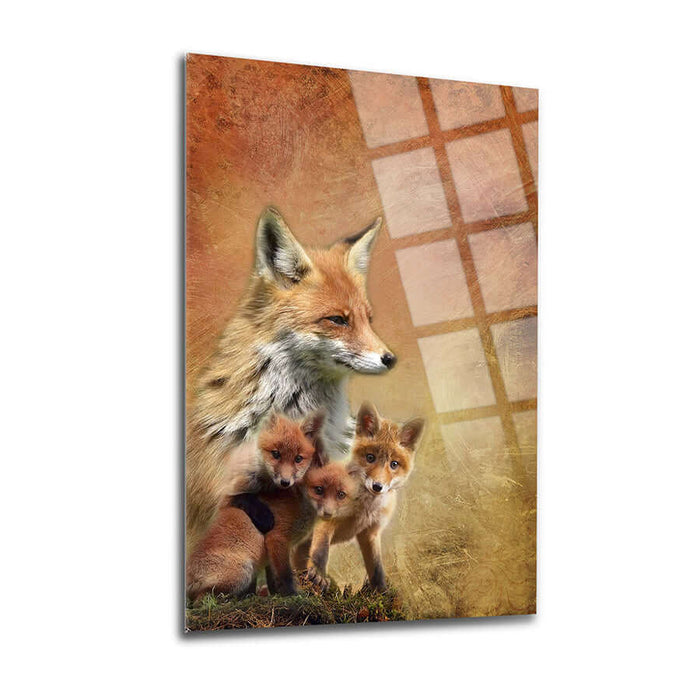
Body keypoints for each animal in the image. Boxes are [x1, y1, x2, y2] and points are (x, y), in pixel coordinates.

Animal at [186, 413, 358, 600]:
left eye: (340, 494)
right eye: (318, 490)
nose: (328, 513)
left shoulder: (273, 551)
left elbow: (273, 579)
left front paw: (277, 594)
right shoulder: (277, 538)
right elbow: (284, 575)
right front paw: (292, 595)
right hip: (243, 571)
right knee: (202, 599)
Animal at [303, 402, 425, 592]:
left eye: (394, 464)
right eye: (370, 457)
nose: (377, 486)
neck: (363, 509)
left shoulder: (371, 533)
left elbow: (376, 567)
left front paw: (381, 590)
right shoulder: (326, 519)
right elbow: (320, 551)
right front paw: (318, 574)